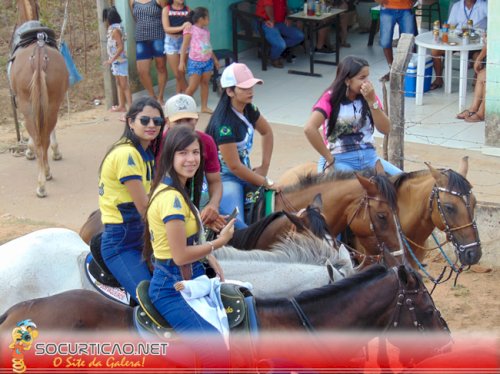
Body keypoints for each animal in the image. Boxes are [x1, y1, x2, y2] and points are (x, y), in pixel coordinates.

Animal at [10, 0, 69, 197]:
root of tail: (39, 51)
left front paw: (28, 151)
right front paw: (56, 152)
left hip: (28, 104)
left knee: (38, 138)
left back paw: (42, 182)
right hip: (51, 104)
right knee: (44, 136)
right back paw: (46, 173)